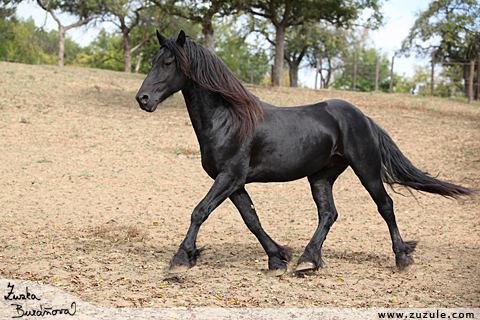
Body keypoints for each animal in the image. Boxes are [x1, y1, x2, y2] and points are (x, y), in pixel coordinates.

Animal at [135, 30, 472, 276]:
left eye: (168, 63)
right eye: (152, 60)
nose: (143, 99)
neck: (229, 119)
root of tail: (362, 116)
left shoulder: (229, 177)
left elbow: (200, 211)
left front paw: (180, 260)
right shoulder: (234, 182)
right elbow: (252, 219)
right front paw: (277, 259)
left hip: (366, 169)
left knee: (385, 206)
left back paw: (402, 258)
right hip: (321, 176)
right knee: (329, 214)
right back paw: (308, 260)